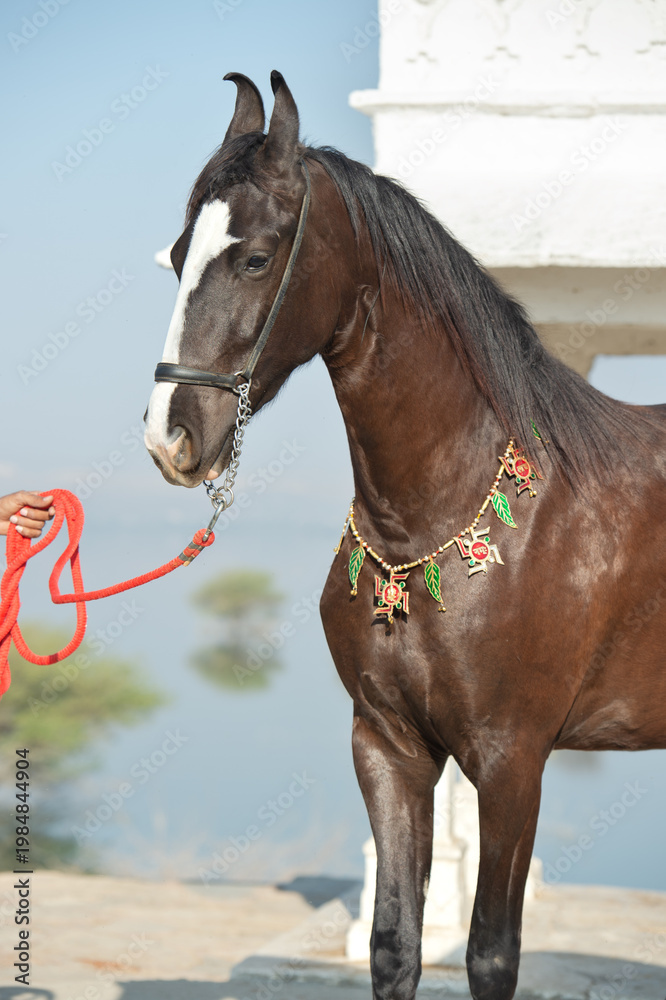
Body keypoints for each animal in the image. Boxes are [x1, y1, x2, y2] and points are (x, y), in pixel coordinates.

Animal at [143, 71, 666, 1000]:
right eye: (177, 255)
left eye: (255, 257)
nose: (170, 436)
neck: (439, 516)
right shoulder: (389, 748)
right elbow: (395, 943)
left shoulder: (511, 760)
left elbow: (490, 951)